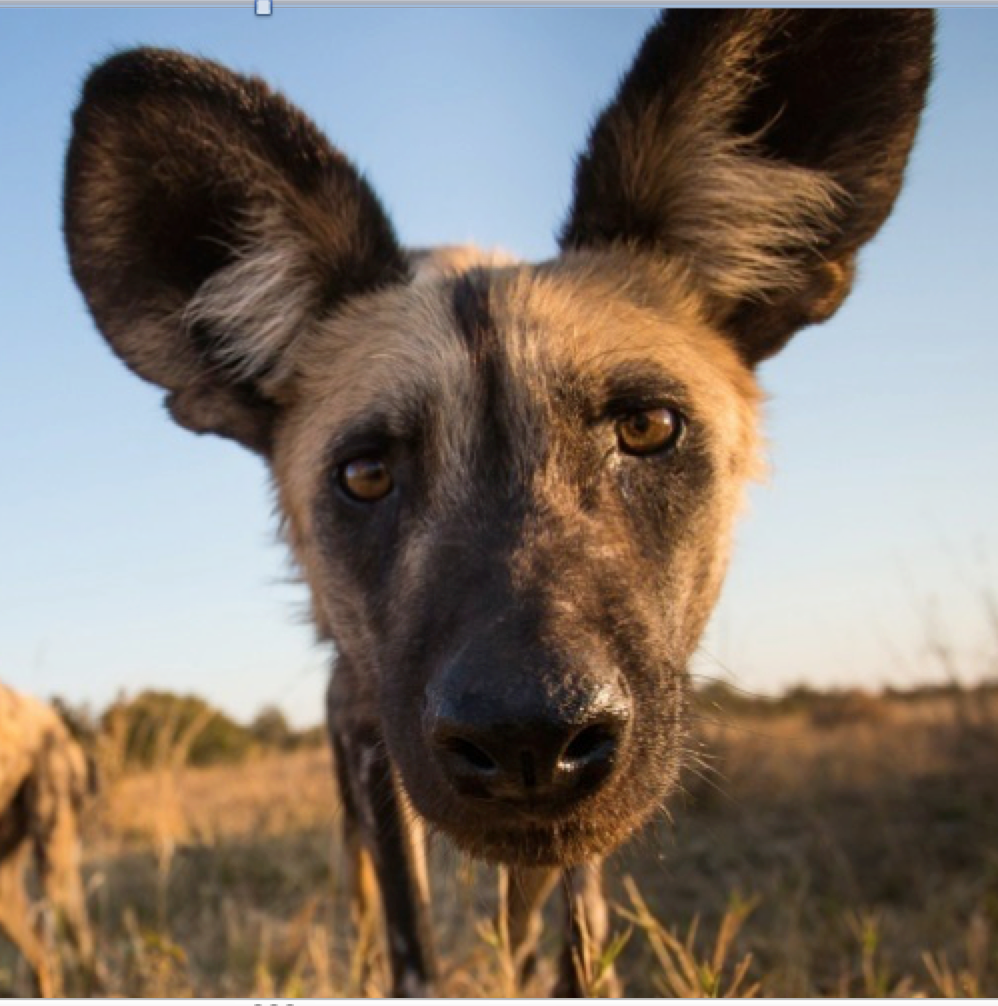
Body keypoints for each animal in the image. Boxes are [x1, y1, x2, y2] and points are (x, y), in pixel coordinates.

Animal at [64, 9, 933, 997]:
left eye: (647, 428)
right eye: (366, 475)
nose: (528, 734)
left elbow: (576, 936)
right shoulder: (374, 749)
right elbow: (412, 944)